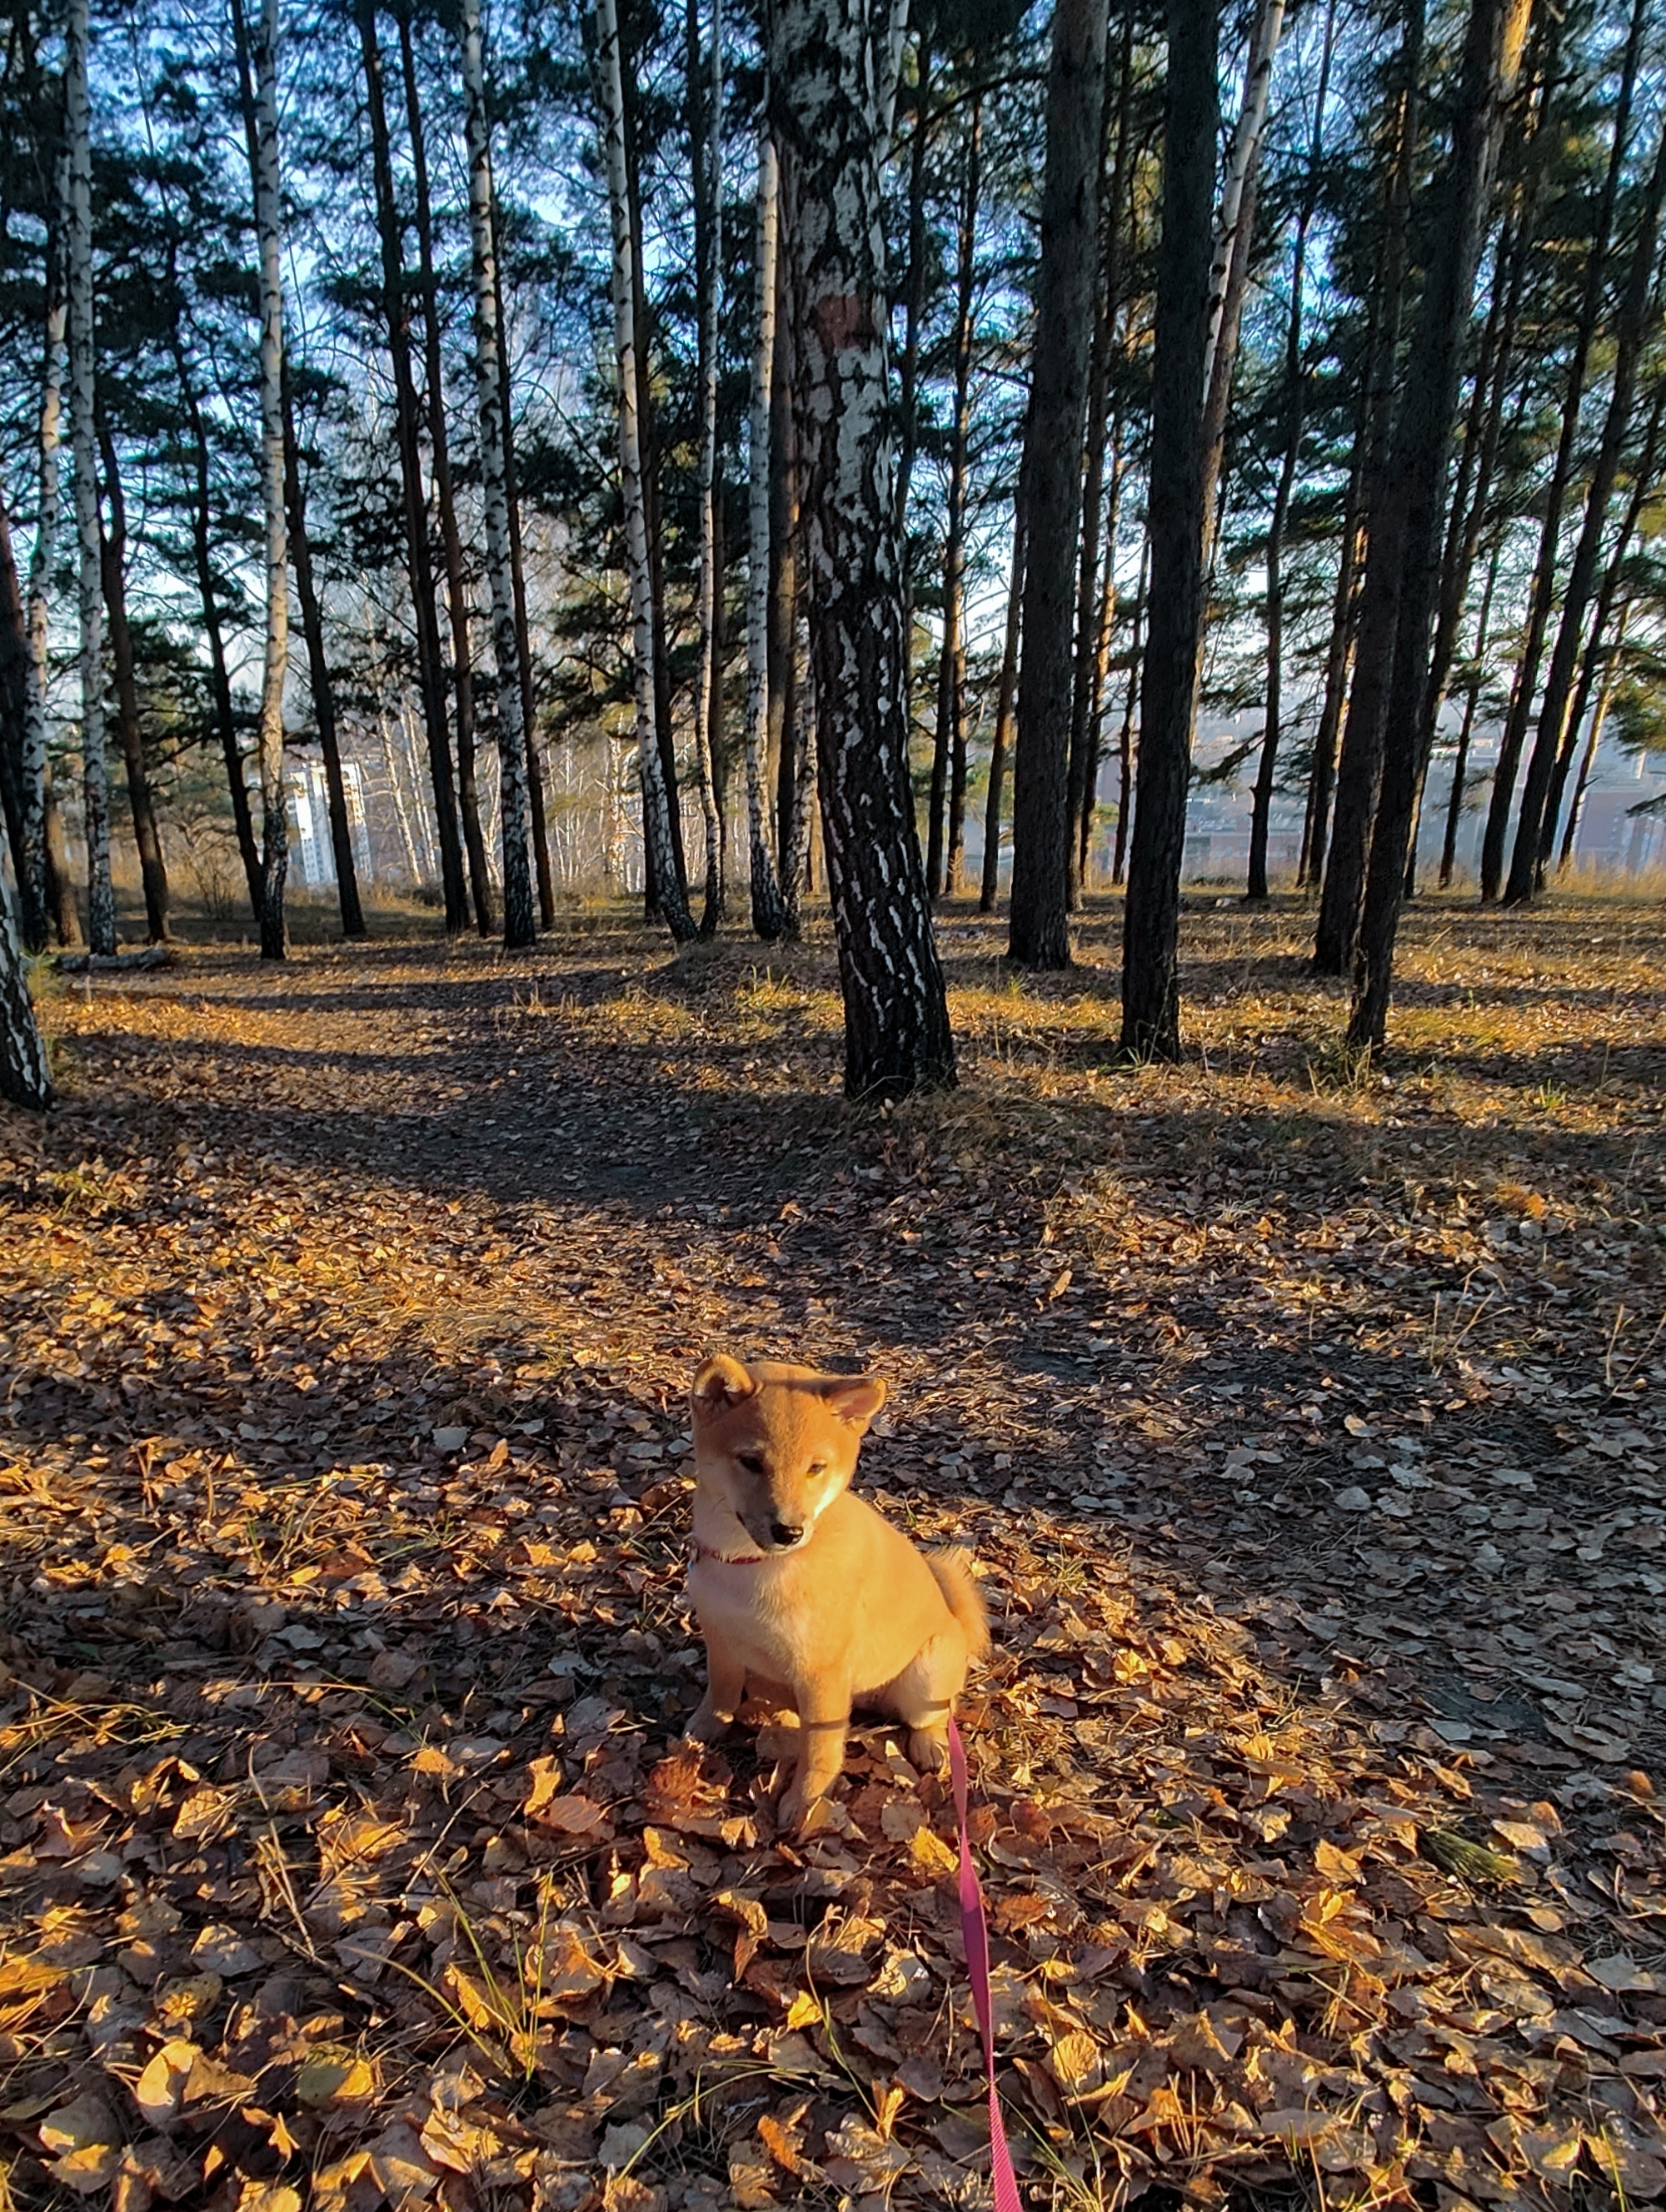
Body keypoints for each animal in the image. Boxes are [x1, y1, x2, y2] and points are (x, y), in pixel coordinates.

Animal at [676, 1344, 986, 1831]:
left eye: (816, 1468)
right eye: (751, 1462)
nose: (788, 1530)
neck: (752, 1565)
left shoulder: (821, 1674)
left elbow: (819, 1751)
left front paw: (805, 1804)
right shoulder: (721, 1639)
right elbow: (721, 1693)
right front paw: (706, 1728)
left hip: (925, 1674)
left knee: (933, 1716)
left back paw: (930, 1744)